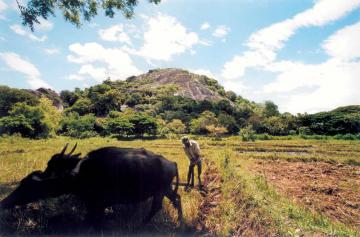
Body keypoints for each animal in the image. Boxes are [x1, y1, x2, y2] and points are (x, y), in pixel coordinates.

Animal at [0, 144, 183, 224]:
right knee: (177, 199)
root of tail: (171, 163)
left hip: (159, 191)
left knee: (156, 207)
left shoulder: (97, 204)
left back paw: (141, 226)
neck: (79, 174)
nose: (4, 202)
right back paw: (180, 222)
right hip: (166, 189)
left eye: (27, 186)